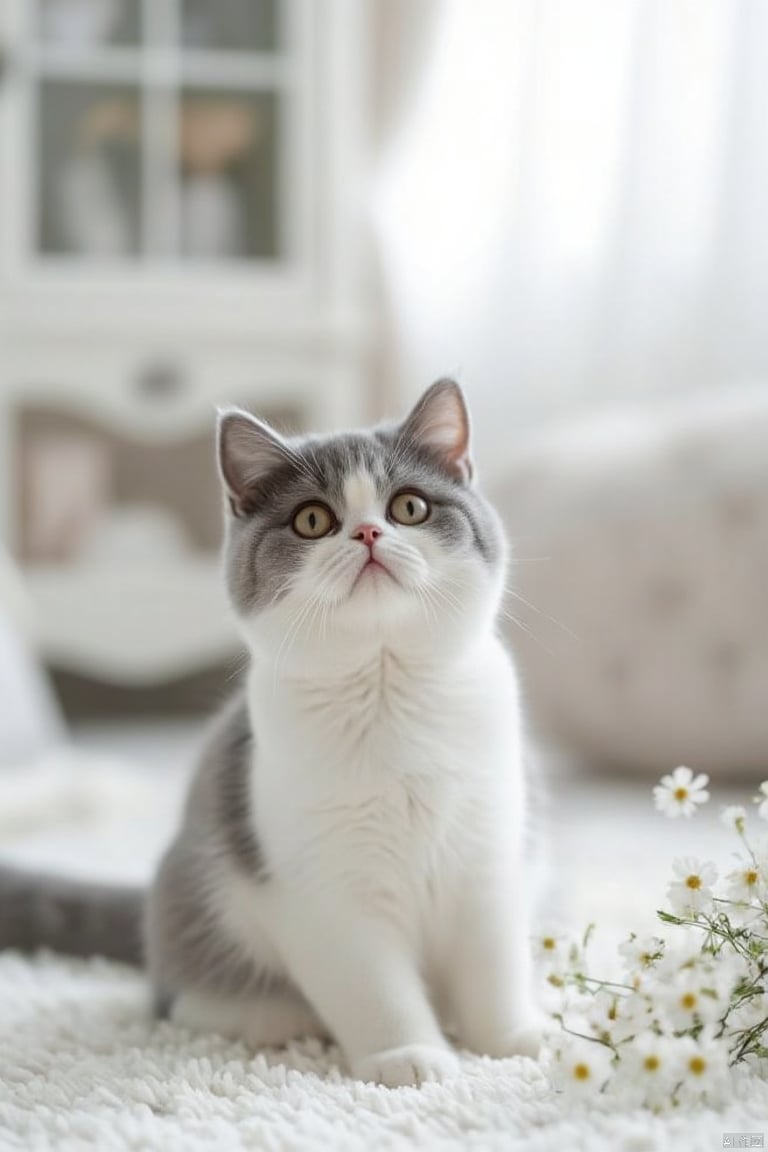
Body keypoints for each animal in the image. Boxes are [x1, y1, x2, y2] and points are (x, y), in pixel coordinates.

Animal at [0, 382, 541, 1082]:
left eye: (410, 507)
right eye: (312, 520)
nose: (368, 531)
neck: (387, 687)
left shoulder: (488, 849)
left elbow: (494, 962)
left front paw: (511, 1041)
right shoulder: (322, 886)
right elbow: (375, 986)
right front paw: (410, 1057)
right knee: (179, 996)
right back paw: (266, 1014)